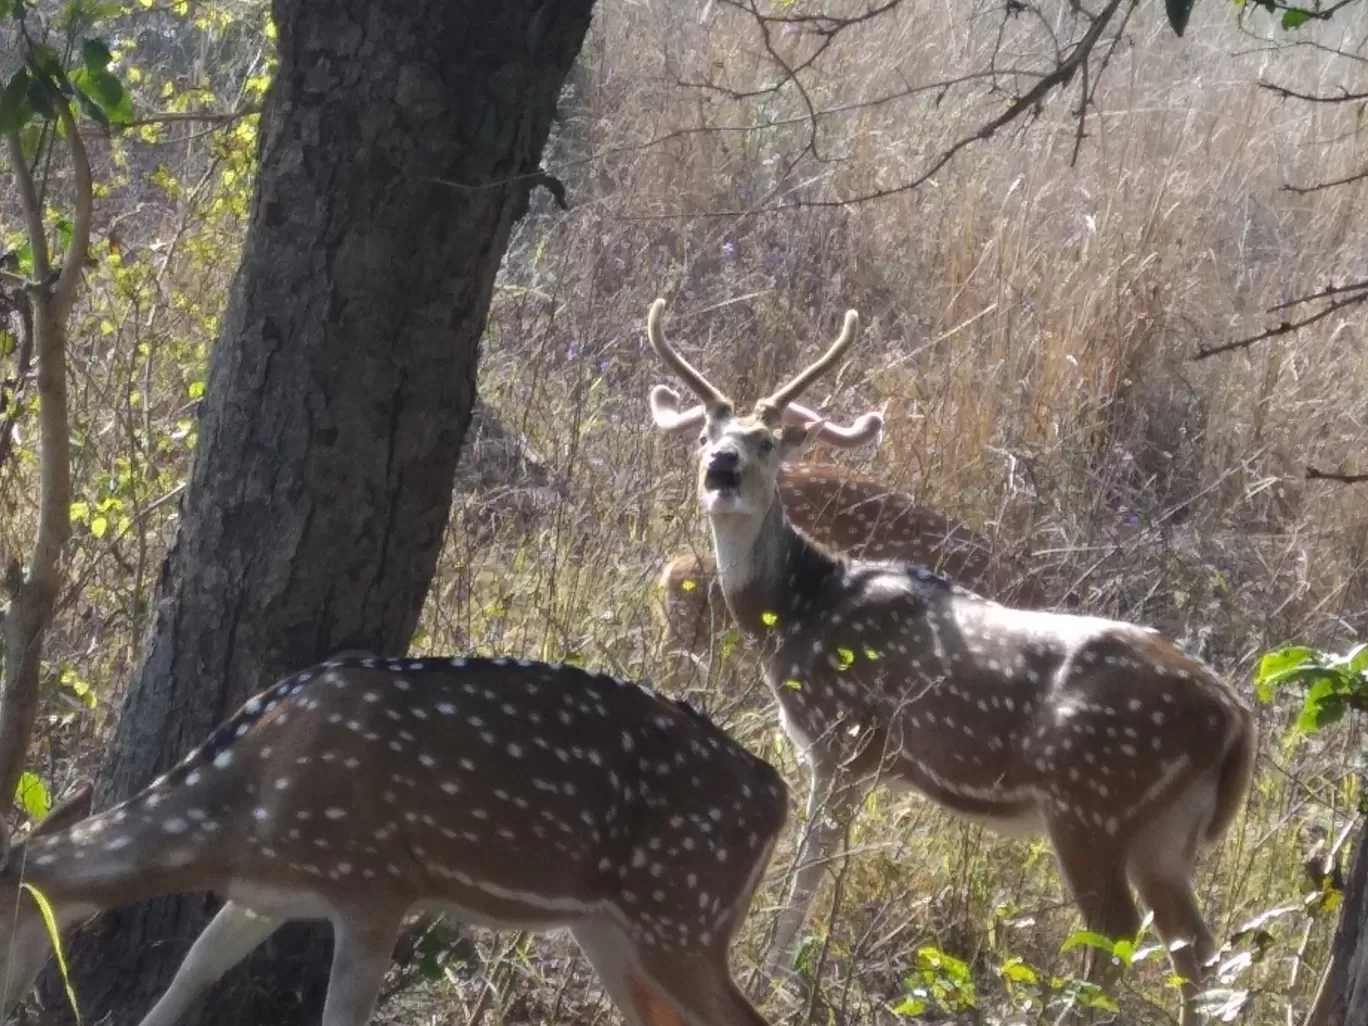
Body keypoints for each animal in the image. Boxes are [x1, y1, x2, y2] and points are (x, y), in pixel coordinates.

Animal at [0, 653, 787, 1026]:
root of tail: (777, 796)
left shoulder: (375, 884)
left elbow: (339, 1014)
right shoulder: (268, 892)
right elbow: (194, 967)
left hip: (681, 910)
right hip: (610, 928)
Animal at [645, 299, 1253, 1026]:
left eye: (767, 440)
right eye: (706, 433)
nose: (723, 468)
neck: (802, 608)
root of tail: (1236, 719)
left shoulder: (844, 741)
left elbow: (807, 870)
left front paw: (770, 976)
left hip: (1091, 800)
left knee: (1116, 939)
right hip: (1165, 832)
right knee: (1197, 954)